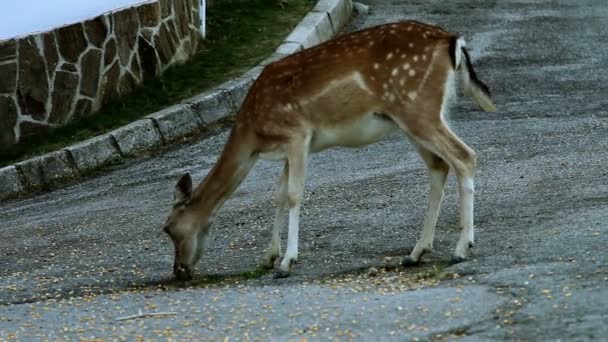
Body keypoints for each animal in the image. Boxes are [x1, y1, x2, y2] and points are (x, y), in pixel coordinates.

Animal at [160, 19, 494, 280]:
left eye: (168, 229)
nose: (179, 271)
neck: (253, 133)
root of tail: (452, 40)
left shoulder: (297, 133)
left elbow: (294, 194)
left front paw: (286, 263)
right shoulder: (292, 147)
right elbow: (278, 194)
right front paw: (268, 257)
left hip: (417, 108)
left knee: (465, 156)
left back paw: (461, 248)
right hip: (417, 117)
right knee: (439, 166)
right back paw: (416, 252)